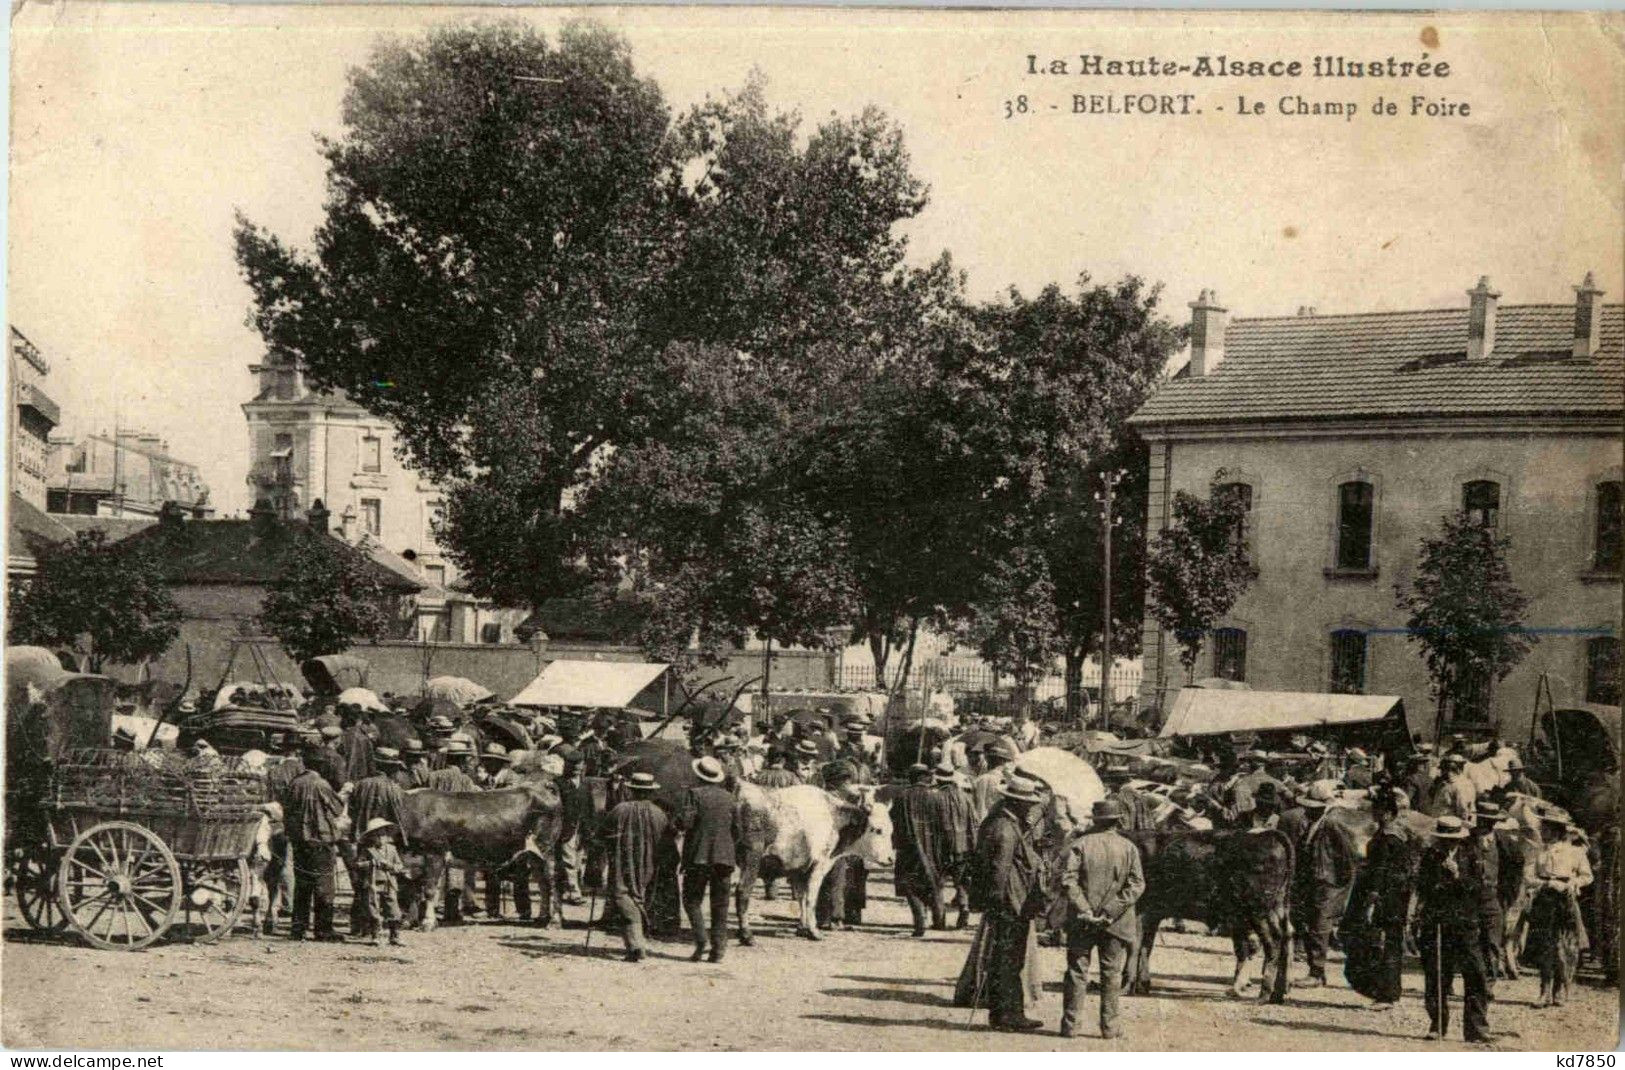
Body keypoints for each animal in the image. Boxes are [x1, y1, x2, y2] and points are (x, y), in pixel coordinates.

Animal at [396, 780, 562, 930]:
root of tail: (543, 785)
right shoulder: (415, 861)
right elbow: (412, 892)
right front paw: (409, 922)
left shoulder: (434, 853)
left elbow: (429, 890)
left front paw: (428, 923)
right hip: (534, 856)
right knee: (543, 884)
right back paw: (542, 918)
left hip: (546, 848)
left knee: (553, 882)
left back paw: (554, 922)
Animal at [734, 774, 897, 943]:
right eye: (877, 830)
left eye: (891, 830)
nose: (891, 859)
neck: (833, 819)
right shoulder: (818, 866)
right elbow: (811, 899)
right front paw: (814, 931)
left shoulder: (799, 870)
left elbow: (801, 897)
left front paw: (802, 928)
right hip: (751, 859)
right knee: (742, 891)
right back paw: (746, 934)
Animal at [1131, 826, 1293, 1001]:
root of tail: (1267, 835)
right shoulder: (1152, 915)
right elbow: (1145, 947)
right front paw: (1142, 985)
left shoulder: (1139, 911)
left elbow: (1136, 946)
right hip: (1277, 907)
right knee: (1287, 936)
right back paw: (1278, 993)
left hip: (1259, 911)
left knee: (1273, 941)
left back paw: (1264, 994)